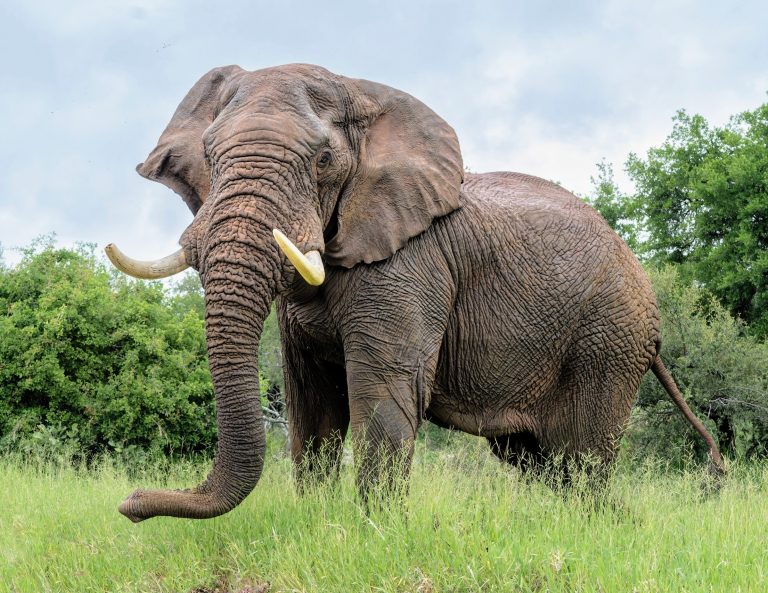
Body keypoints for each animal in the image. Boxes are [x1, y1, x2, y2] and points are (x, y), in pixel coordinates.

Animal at [106, 63, 724, 522]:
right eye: (210, 158)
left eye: (323, 160)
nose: (131, 504)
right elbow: (311, 407)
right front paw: (320, 523)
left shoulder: (409, 267)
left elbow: (383, 396)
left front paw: (372, 533)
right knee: (539, 461)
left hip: (607, 340)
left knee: (581, 460)